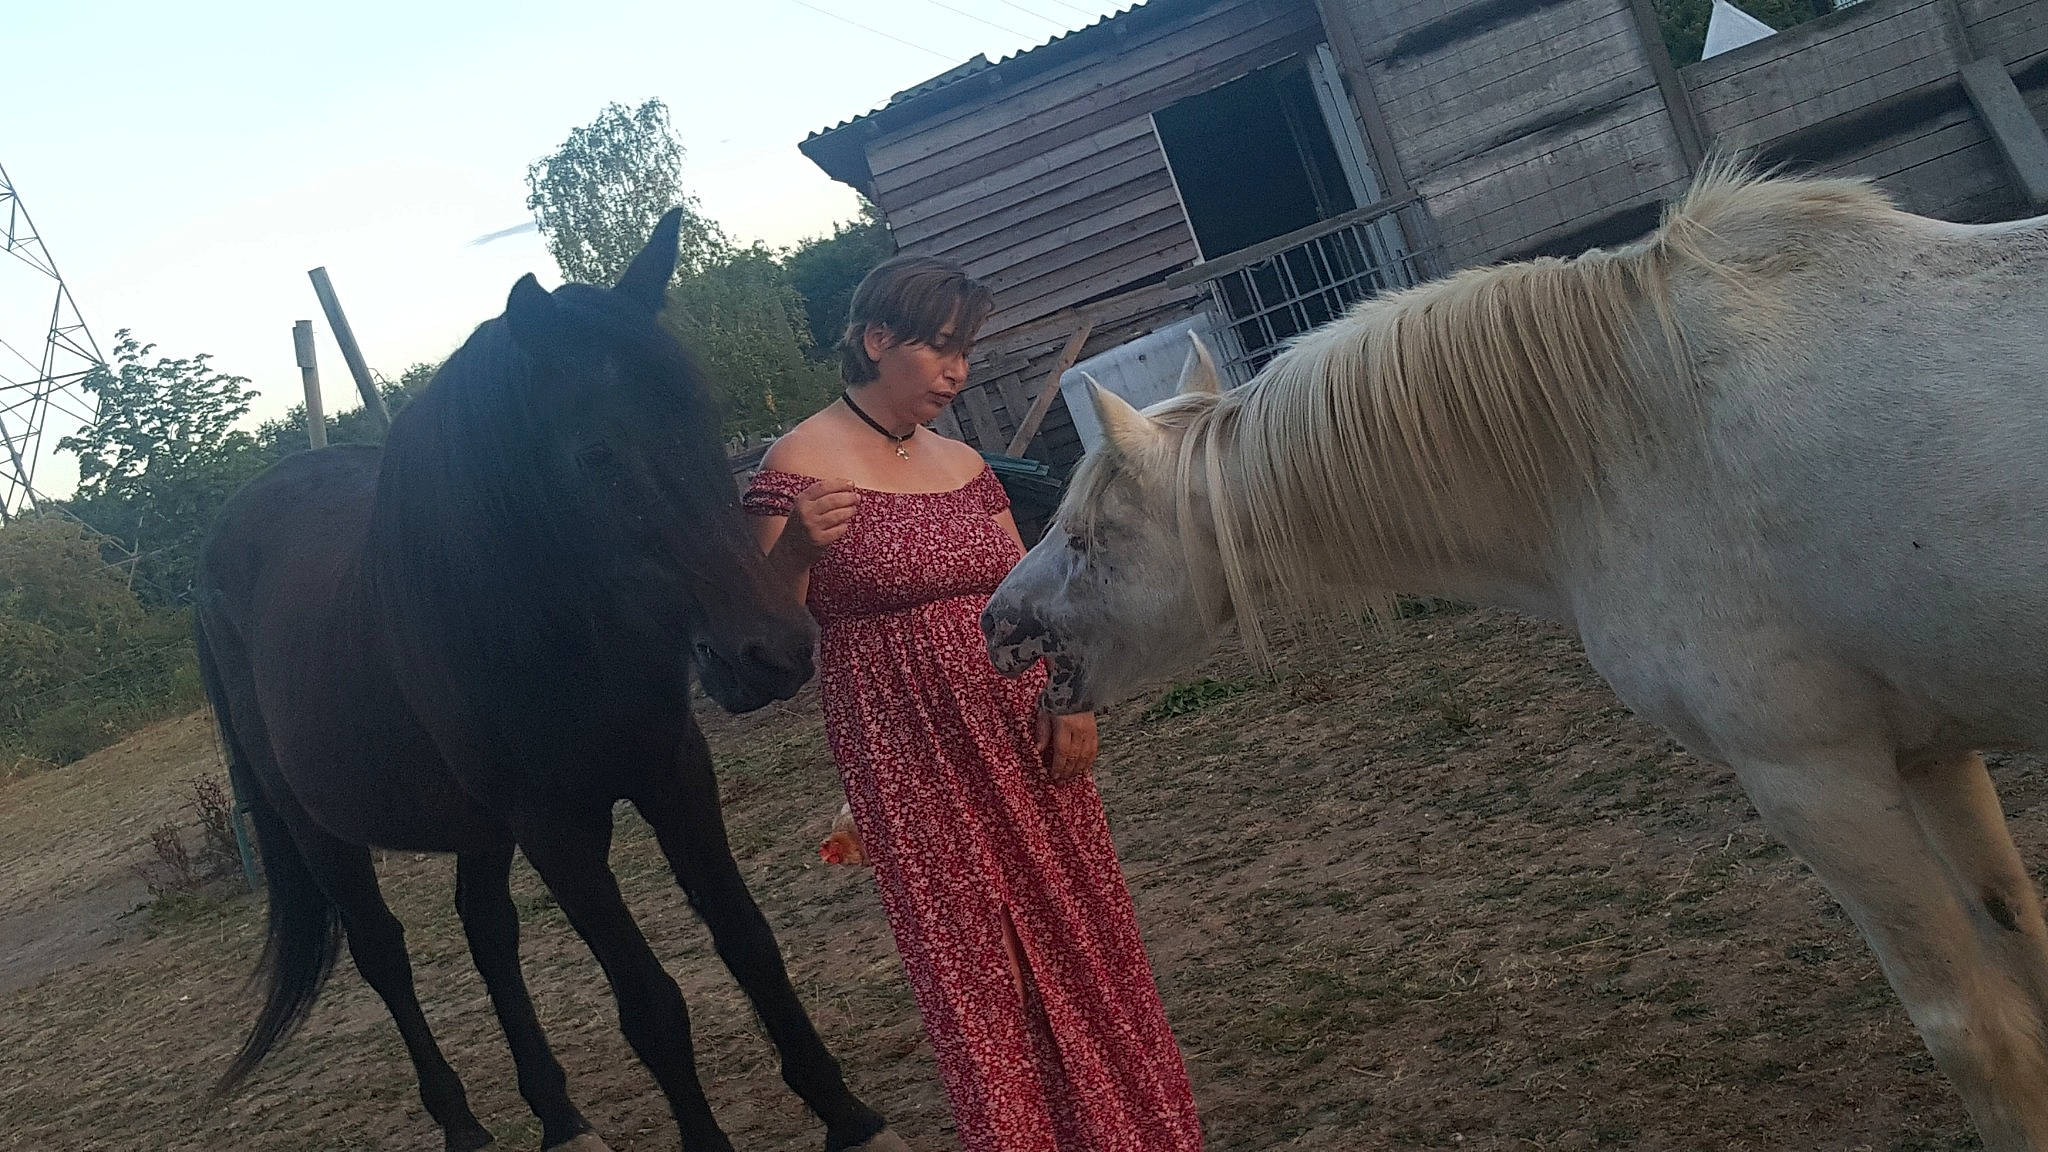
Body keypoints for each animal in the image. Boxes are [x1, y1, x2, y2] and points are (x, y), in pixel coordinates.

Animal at [195, 212, 908, 1152]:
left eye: (701, 418)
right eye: (597, 453)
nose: (774, 652)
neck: (549, 625)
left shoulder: (672, 775)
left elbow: (749, 942)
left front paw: (851, 1118)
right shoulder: (555, 827)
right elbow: (651, 1006)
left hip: (476, 827)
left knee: (487, 932)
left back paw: (561, 1119)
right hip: (323, 832)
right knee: (386, 958)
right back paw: (464, 1128)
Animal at [982, 166, 2048, 1148]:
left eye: (1086, 538)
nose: (995, 622)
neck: (1621, 440)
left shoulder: (1815, 778)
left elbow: (1977, 1036)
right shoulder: (1928, 751)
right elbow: (2022, 939)